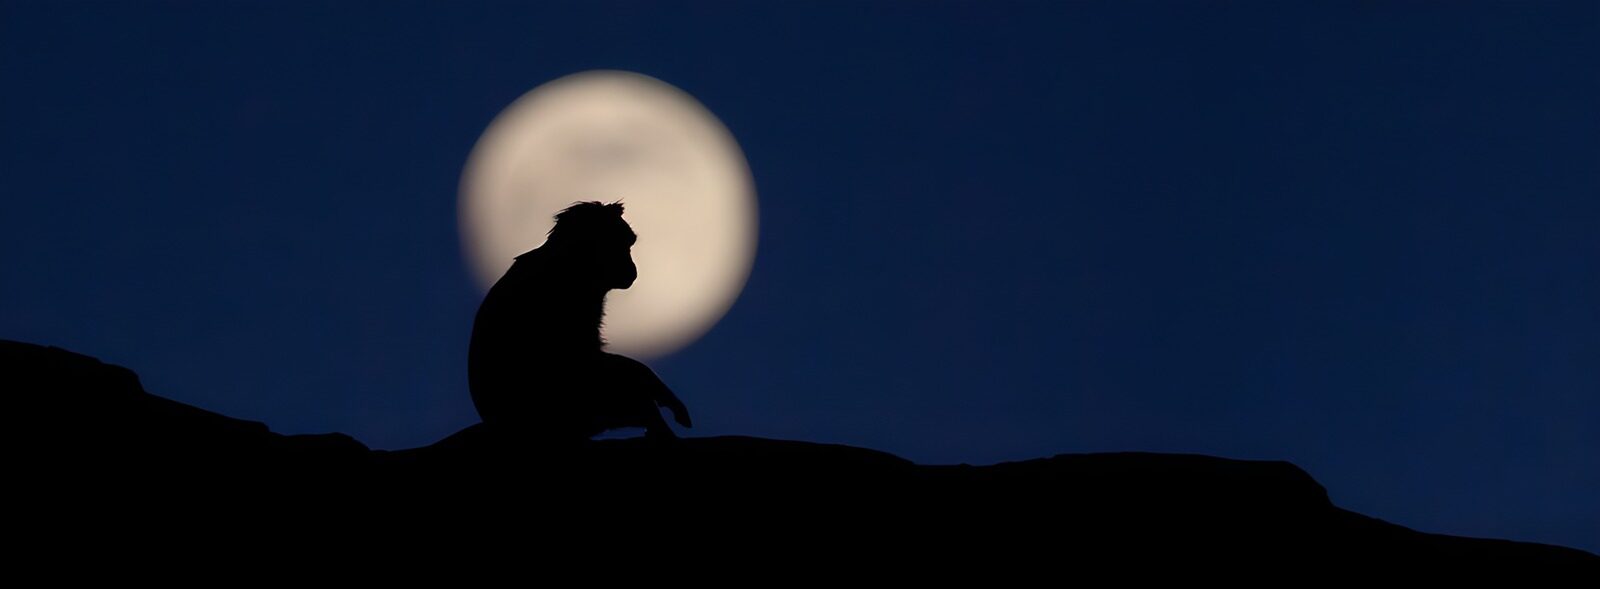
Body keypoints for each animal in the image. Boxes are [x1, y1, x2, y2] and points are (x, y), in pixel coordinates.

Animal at [468, 201, 692, 443]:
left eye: (629, 244)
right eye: (620, 245)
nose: (632, 267)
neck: (574, 264)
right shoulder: (573, 297)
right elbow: (585, 357)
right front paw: (658, 391)